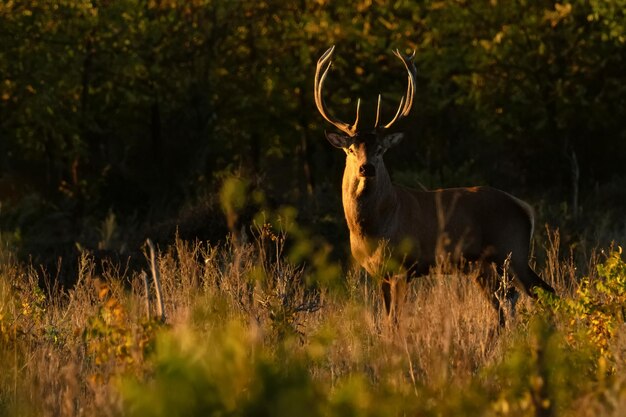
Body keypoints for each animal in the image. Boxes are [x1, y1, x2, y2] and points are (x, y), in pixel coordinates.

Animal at [314, 45, 552, 324]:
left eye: (381, 150)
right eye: (351, 149)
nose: (367, 168)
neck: (374, 227)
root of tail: (524, 207)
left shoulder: (404, 266)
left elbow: (395, 321)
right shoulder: (378, 273)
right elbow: (386, 320)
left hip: (512, 250)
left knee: (544, 292)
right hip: (483, 265)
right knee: (505, 302)